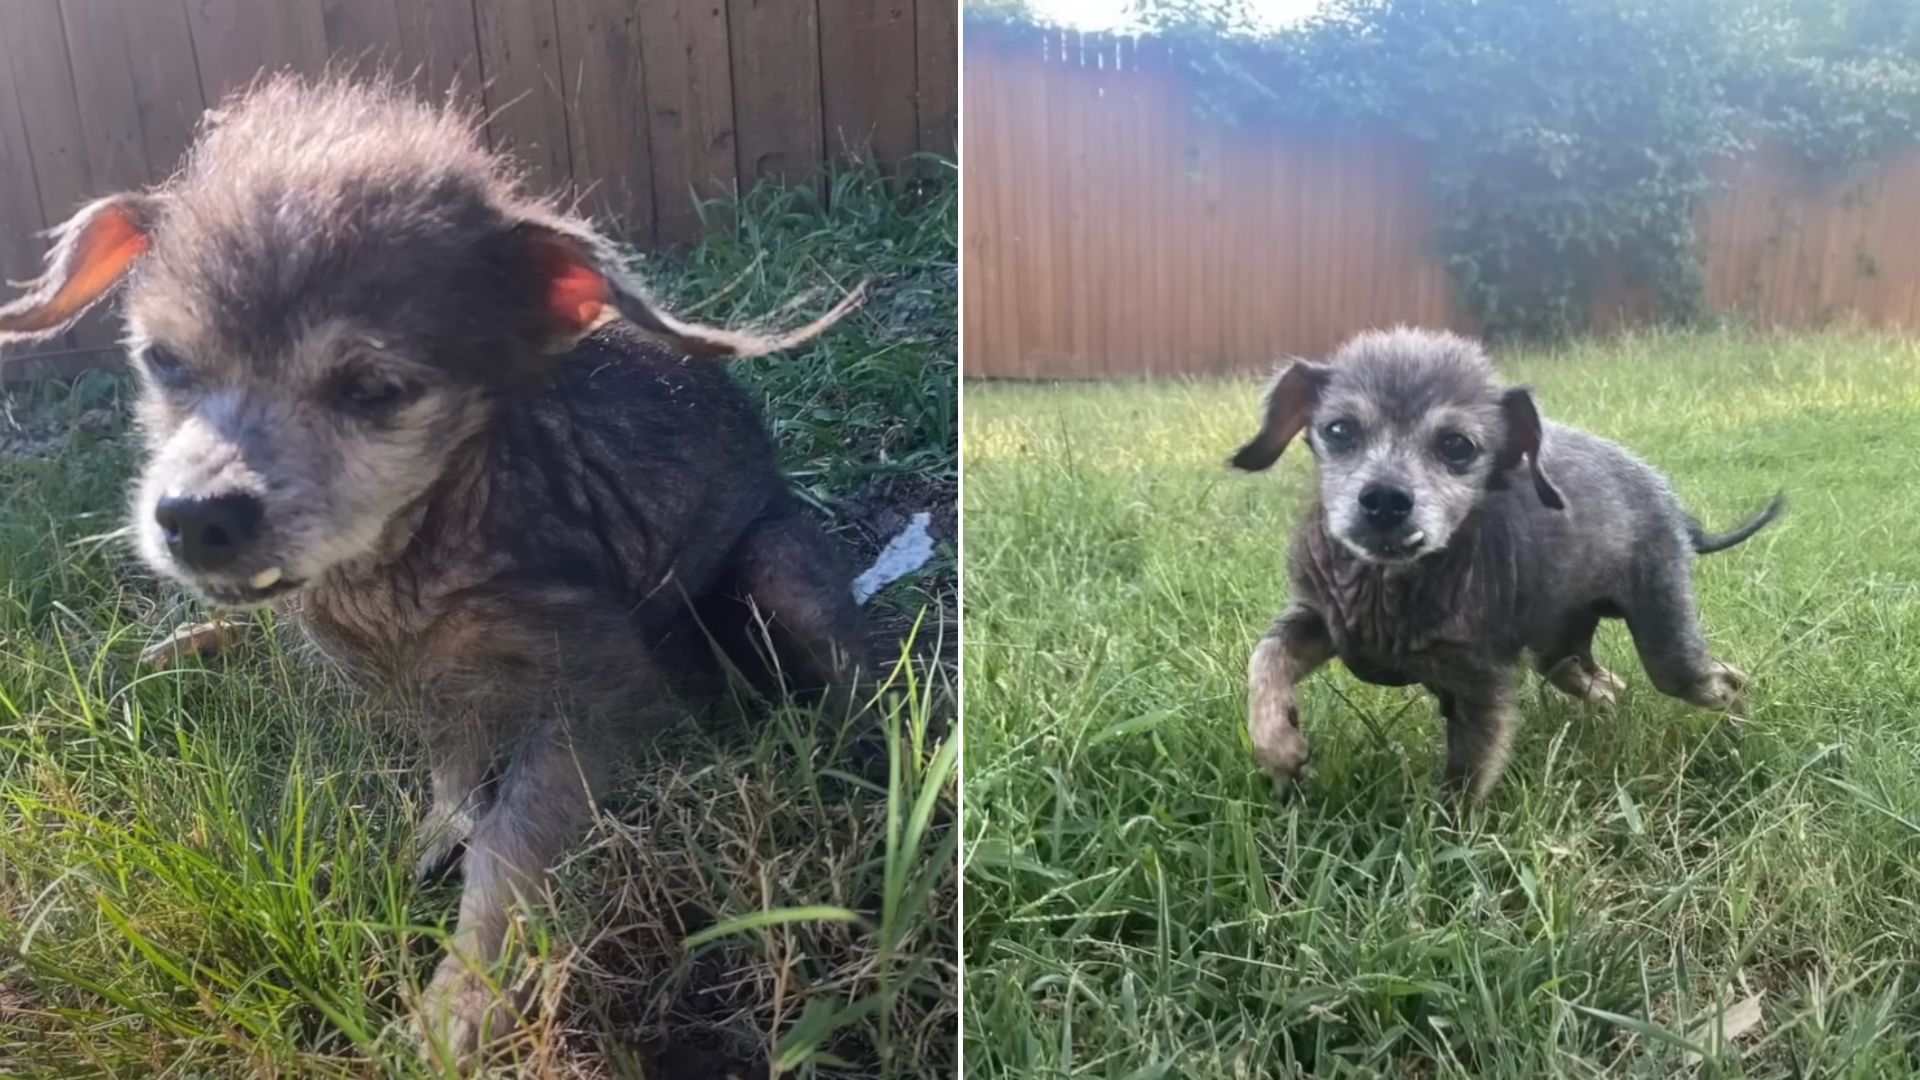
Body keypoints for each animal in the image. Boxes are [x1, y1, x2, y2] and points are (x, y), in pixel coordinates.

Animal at [0, 77, 871, 1060]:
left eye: (373, 390)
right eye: (164, 362)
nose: (195, 518)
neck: (402, 566)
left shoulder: (601, 687)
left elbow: (510, 847)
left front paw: (460, 1005)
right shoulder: (418, 678)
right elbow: (453, 763)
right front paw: (438, 832)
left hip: (778, 570)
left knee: (869, 671)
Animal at [1228, 322, 1781, 795]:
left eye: (1457, 446)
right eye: (1339, 431)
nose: (1384, 500)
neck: (1386, 585)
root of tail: (1681, 516)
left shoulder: (1483, 689)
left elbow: (1463, 787)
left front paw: (1443, 846)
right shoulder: (1319, 621)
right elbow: (1265, 659)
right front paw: (1278, 746)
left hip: (1670, 649)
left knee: (1727, 682)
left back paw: (1739, 739)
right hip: (1559, 651)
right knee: (1606, 684)